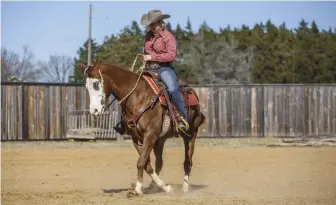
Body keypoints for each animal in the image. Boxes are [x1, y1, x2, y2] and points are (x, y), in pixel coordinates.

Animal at [80, 58, 206, 195]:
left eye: (96, 84)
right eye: (86, 86)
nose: (94, 110)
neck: (137, 96)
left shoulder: (150, 134)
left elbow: (141, 162)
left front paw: (138, 189)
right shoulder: (137, 138)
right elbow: (146, 163)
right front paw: (163, 187)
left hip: (191, 133)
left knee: (188, 161)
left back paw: (185, 187)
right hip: (160, 140)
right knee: (159, 163)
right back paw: (154, 186)